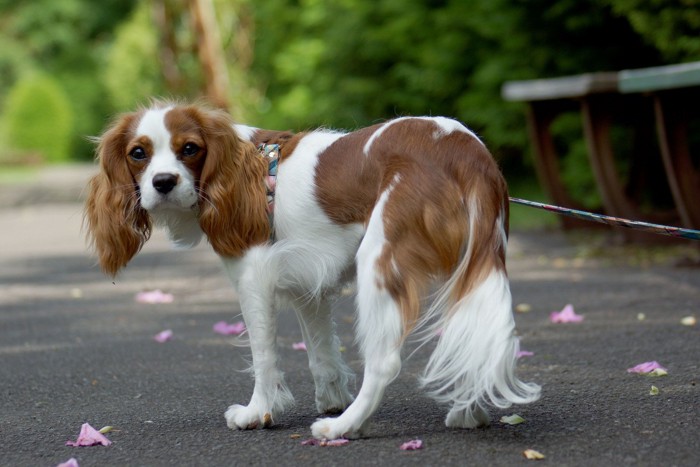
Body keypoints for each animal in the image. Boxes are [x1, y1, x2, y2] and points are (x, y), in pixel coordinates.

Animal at [83, 100, 540, 440]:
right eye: (138, 154)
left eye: (190, 148)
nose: (162, 182)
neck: (244, 168)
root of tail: (466, 152)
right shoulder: (308, 285)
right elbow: (321, 353)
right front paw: (332, 396)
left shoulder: (254, 278)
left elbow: (264, 356)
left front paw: (258, 413)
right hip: (470, 261)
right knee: (473, 331)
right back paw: (467, 412)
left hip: (380, 259)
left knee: (385, 361)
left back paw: (344, 426)